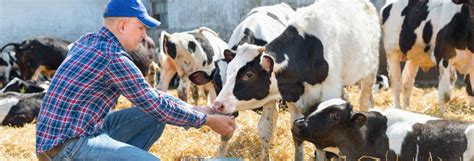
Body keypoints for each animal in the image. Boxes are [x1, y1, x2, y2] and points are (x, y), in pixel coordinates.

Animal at [187, 3, 294, 158]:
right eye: (215, 83)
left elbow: (265, 128)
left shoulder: (271, 99)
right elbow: (226, 133)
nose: (220, 107)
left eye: (245, 76)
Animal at [213, 0, 380, 160]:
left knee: (365, 101)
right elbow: (297, 137)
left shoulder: (330, 94)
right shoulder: (294, 102)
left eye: (248, 75)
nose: (218, 104)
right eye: (229, 71)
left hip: (369, 72)